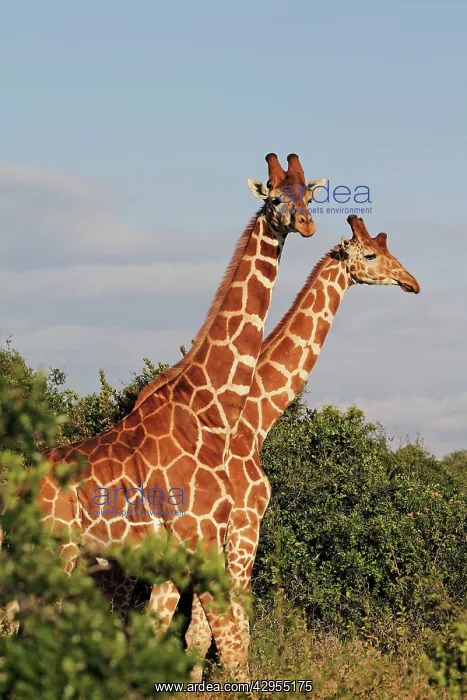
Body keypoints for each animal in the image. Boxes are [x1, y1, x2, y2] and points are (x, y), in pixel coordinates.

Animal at [19, 153, 325, 677]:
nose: (305, 223)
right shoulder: (199, 537)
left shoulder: (210, 540)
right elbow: (228, 643)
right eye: (273, 197)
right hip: (57, 554)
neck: (209, 411)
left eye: (307, 194)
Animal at [177, 213, 420, 676]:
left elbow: (201, 635)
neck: (255, 421)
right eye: (370, 254)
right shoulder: (244, 525)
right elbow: (233, 633)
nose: (411, 281)